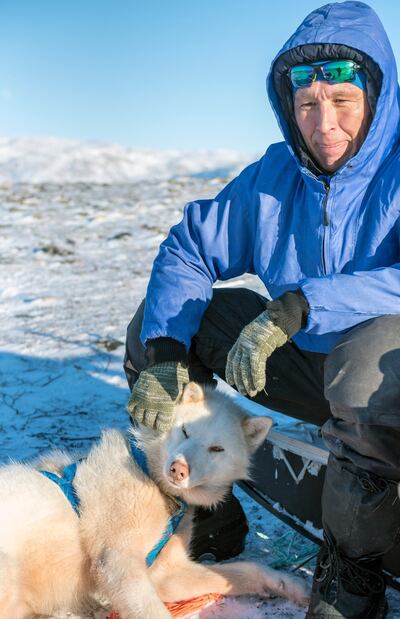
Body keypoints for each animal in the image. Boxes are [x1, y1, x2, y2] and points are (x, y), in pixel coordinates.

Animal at [0, 382, 310, 619]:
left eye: (217, 449)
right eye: (185, 431)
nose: (178, 469)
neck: (157, 486)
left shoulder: (167, 575)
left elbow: (248, 570)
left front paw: (290, 585)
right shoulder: (118, 562)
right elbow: (152, 611)